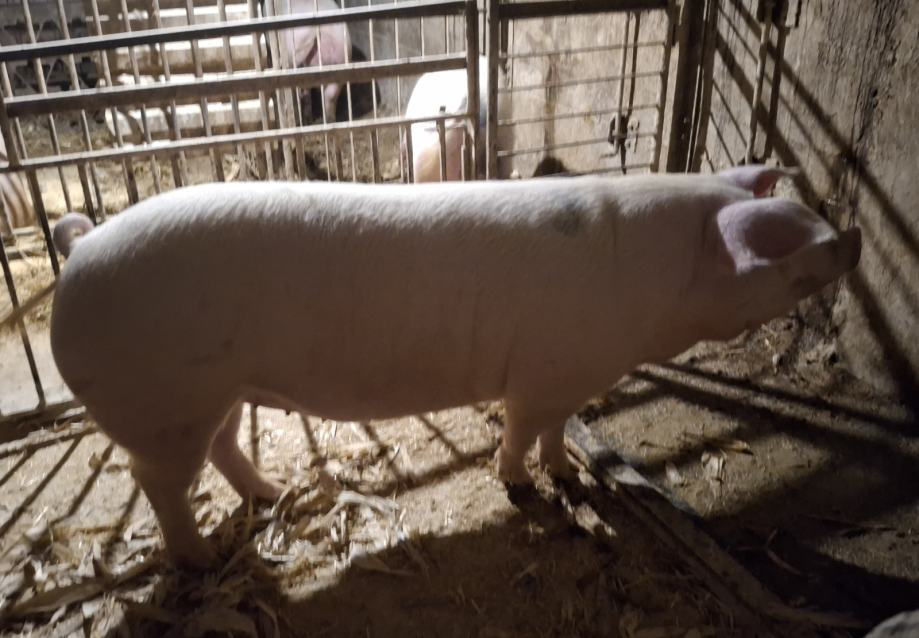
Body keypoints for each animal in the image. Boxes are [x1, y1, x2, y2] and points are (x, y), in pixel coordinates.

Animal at [43, 165, 860, 568]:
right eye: (787, 242)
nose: (851, 237)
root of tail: (82, 247)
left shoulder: (574, 372)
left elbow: (560, 429)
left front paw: (565, 475)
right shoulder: (540, 371)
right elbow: (521, 432)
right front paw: (523, 487)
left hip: (213, 391)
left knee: (219, 447)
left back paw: (274, 493)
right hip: (160, 401)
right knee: (159, 483)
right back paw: (200, 561)